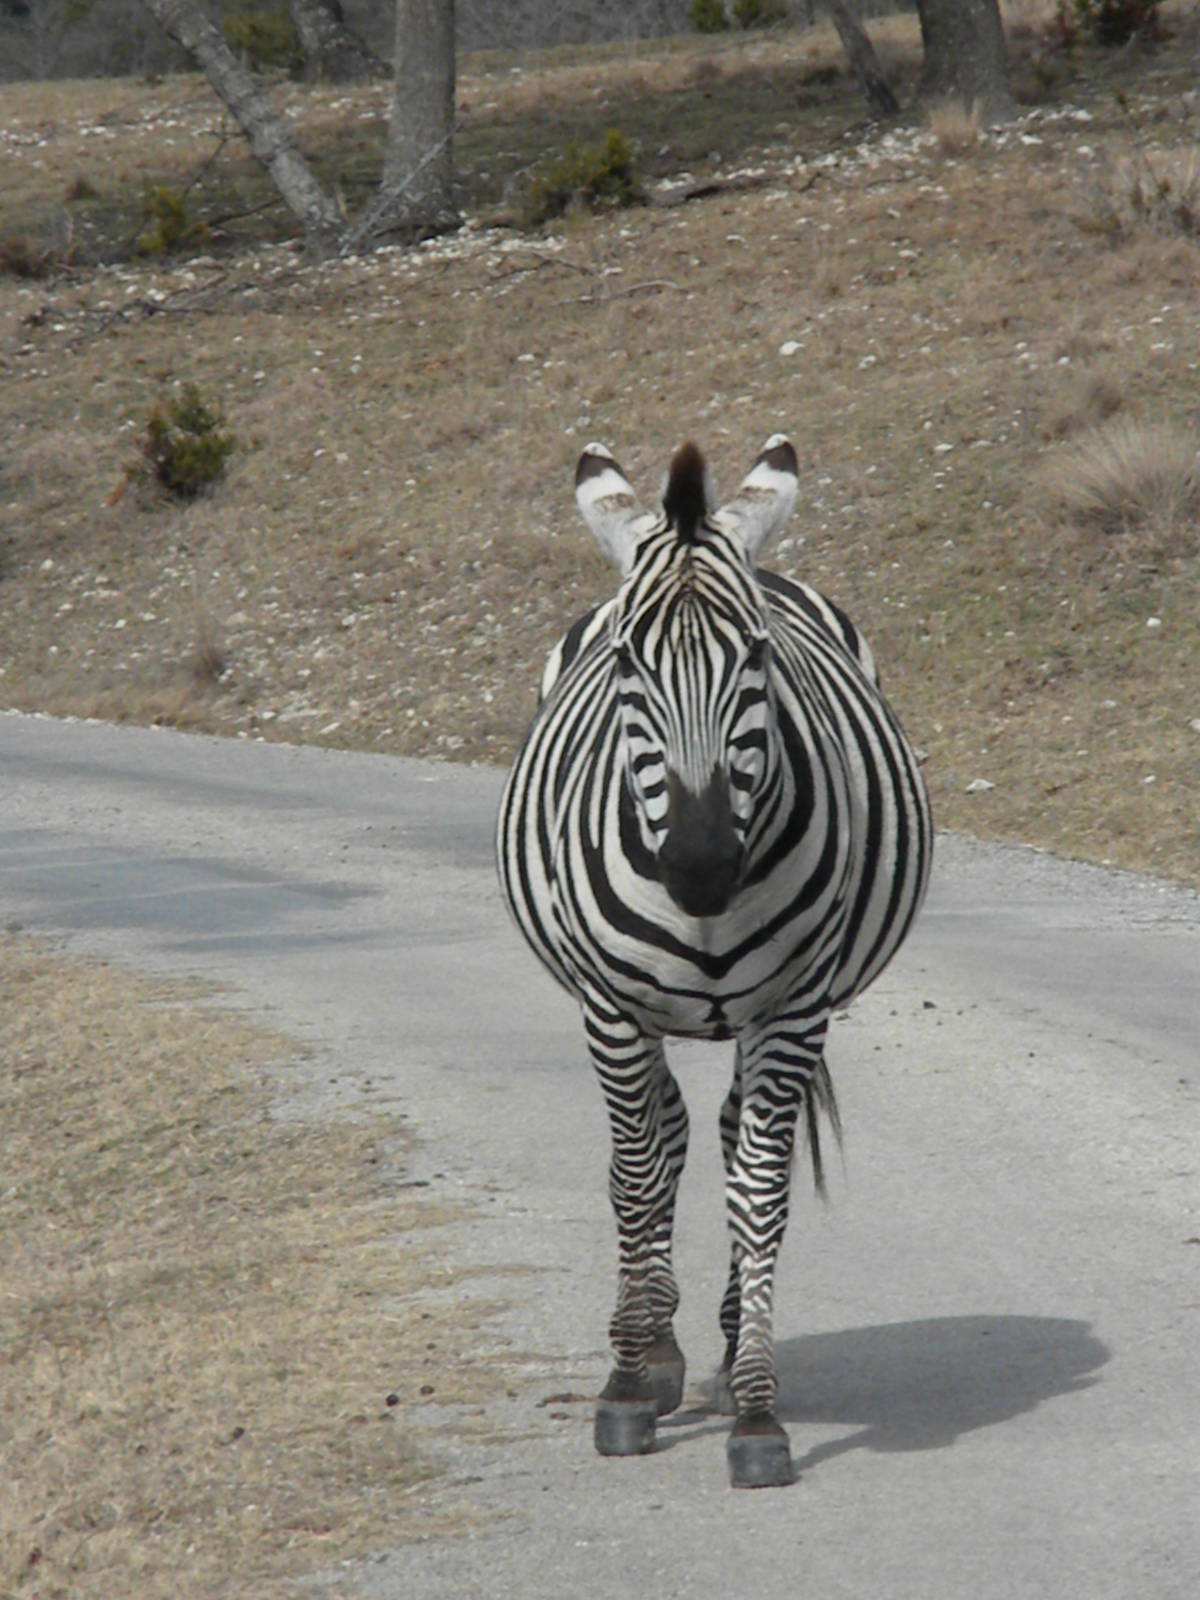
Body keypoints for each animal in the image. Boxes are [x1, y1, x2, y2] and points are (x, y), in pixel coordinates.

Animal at [496, 435, 932, 1488]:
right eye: (624, 663)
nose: (699, 869)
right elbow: (635, 1176)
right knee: (668, 1134)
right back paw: (653, 1347)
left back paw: (728, 1348)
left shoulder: (794, 1008)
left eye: (760, 657)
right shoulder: (611, 1009)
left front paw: (758, 1412)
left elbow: (760, 1191)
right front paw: (623, 1386)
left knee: (727, 1136)